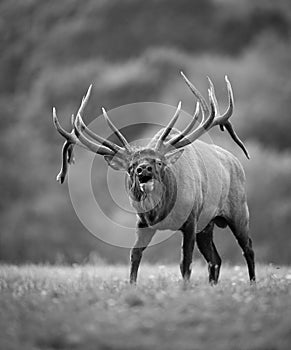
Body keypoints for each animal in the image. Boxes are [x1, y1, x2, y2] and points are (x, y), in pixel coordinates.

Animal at [52, 72, 256, 284]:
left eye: (159, 162)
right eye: (131, 167)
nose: (144, 169)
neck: (162, 210)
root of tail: (236, 161)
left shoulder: (191, 220)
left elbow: (185, 262)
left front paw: (185, 287)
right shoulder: (143, 222)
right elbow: (135, 255)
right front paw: (131, 284)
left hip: (239, 210)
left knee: (248, 248)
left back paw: (252, 283)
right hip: (207, 225)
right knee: (215, 259)